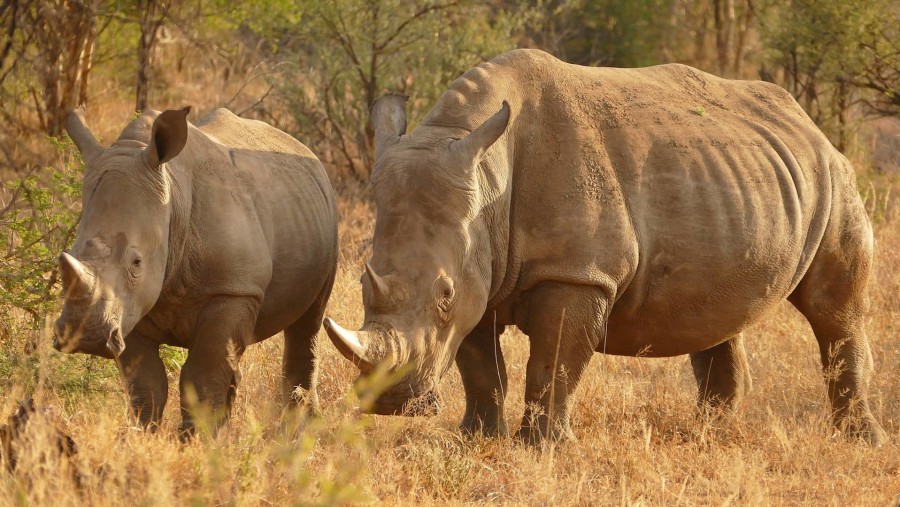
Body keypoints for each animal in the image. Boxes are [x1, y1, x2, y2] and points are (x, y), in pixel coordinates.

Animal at [56, 106, 340, 432]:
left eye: (136, 263)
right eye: (68, 255)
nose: (85, 337)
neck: (172, 201)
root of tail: (302, 148)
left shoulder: (233, 290)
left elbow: (202, 375)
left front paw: (196, 438)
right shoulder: (130, 306)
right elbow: (146, 383)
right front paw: (145, 434)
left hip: (325, 221)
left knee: (307, 324)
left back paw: (302, 428)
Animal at [326, 46, 884, 444]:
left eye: (442, 297)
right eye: (363, 283)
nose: (391, 403)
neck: (486, 177)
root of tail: (807, 122)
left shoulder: (577, 272)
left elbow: (552, 360)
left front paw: (542, 446)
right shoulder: (479, 267)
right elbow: (480, 365)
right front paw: (475, 439)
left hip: (835, 176)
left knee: (834, 311)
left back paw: (861, 441)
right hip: (737, 181)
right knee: (720, 309)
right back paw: (707, 434)